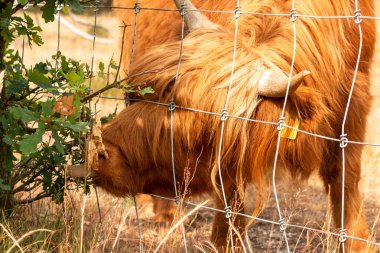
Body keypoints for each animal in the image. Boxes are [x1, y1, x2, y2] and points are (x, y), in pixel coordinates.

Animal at [70, 0, 376, 251]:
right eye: (137, 95)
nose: (96, 152)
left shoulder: (354, 101)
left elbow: (345, 177)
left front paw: (358, 241)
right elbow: (230, 191)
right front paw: (225, 241)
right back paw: (161, 213)